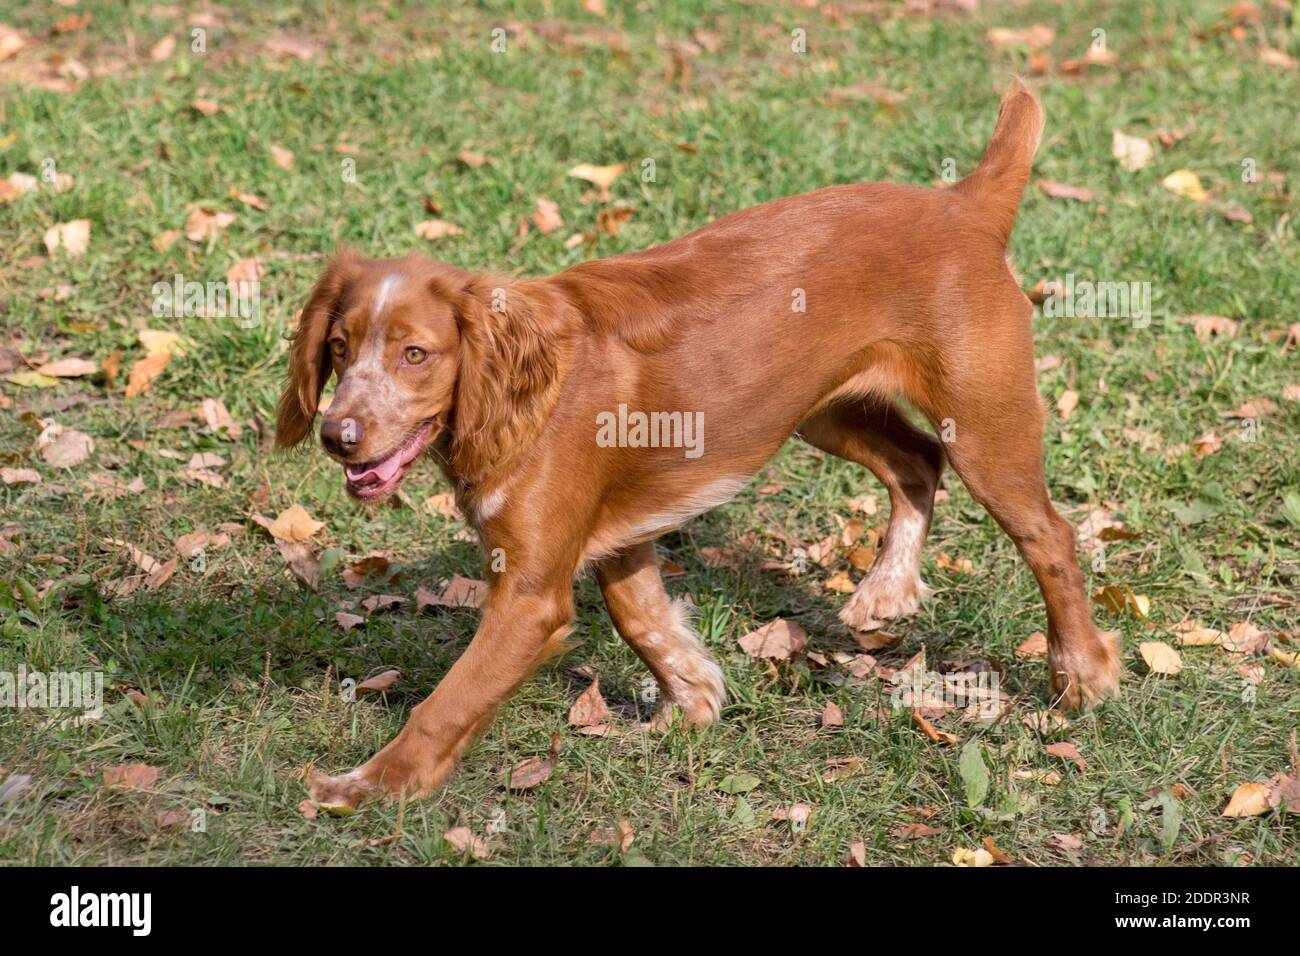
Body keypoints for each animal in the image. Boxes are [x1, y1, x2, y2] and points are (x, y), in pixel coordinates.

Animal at [279, 82, 1123, 811]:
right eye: (339, 348)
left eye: (415, 355)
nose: (338, 436)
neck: (520, 393)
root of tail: (963, 203)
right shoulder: (622, 537)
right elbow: (644, 619)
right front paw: (691, 703)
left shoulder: (529, 594)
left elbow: (450, 701)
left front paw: (367, 786)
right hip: (821, 409)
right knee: (917, 460)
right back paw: (884, 593)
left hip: (985, 426)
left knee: (1049, 536)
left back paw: (1080, 677)